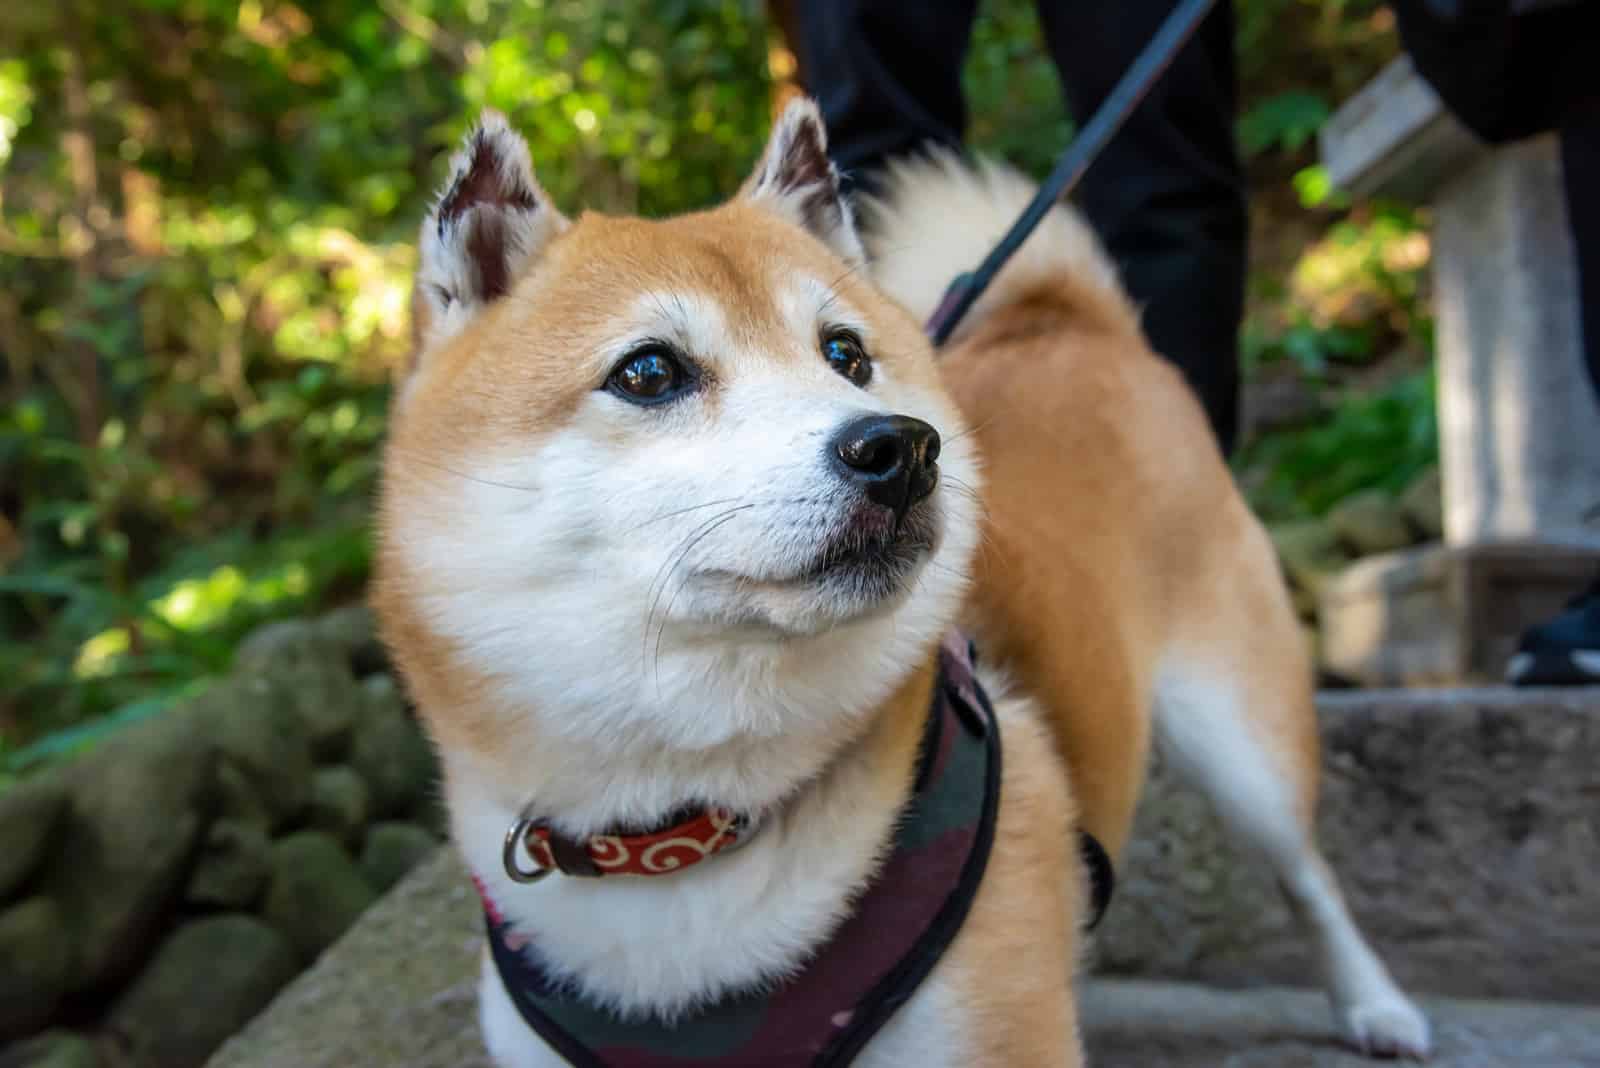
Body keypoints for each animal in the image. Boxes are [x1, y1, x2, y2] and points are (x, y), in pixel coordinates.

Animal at [377, 95, 1440, 1061]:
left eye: (845, 354)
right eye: (648, 373)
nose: (900, 449)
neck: (686, 826)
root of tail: (1071, 323)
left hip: (1241, 737)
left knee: (1308, 876)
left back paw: (1377, 1006)